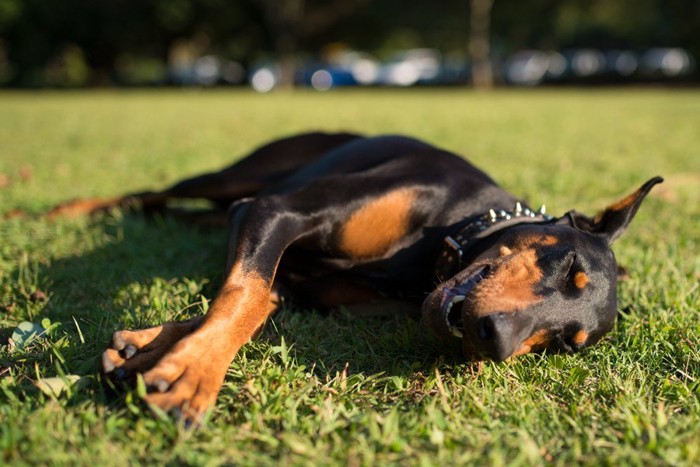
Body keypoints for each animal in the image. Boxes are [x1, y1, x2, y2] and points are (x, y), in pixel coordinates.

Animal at [46, 131, 660, 420]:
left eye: (563, 342)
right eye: (571, 266)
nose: (495, 340)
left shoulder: (298, 276)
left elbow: (257, 296)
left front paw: (149, 351)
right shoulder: (273, 210)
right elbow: (246, 293)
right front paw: (193, 374)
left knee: (172, 212)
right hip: (241, 176)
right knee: (150, 194)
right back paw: (59, 211)